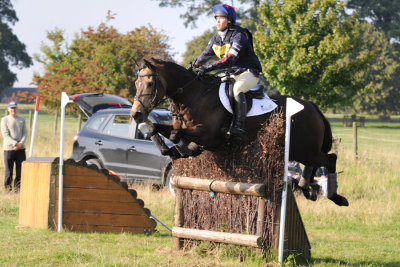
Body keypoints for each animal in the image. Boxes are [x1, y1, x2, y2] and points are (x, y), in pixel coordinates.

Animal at [133, 57, 348, 207]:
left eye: (150, 84)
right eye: (136, 84)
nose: (136, 114)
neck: (193, 95)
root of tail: (311, 106)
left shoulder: (208, 135)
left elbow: (177, 136)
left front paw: (180, 149)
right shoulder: (184, 128)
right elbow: (156, 128)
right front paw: (171, 149)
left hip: (305, 149)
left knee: (330, 159)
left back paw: (336, 197)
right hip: (300, 150)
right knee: (315, 164)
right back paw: (306, 188)